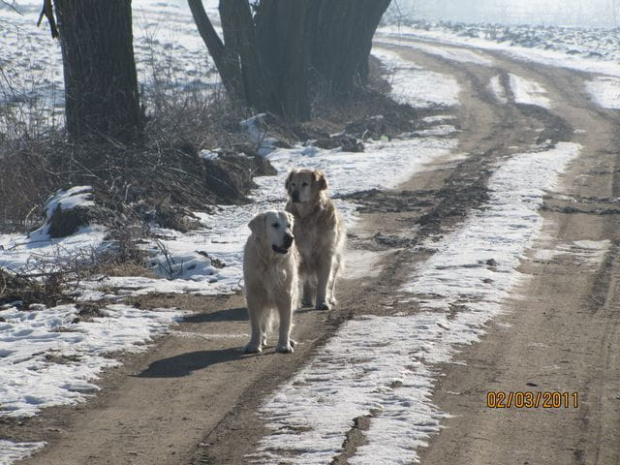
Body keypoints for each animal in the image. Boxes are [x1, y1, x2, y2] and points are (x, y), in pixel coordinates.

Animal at [243, 209, 300, 352]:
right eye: (275, 225)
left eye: (289, 225)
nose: (290, 238)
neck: (270, 262)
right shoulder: (253, 294)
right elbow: (255, 324)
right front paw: (254, 345)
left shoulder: (286, 294)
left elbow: (285, 323)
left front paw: (284, 345)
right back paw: (262, 339)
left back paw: (290, 340)